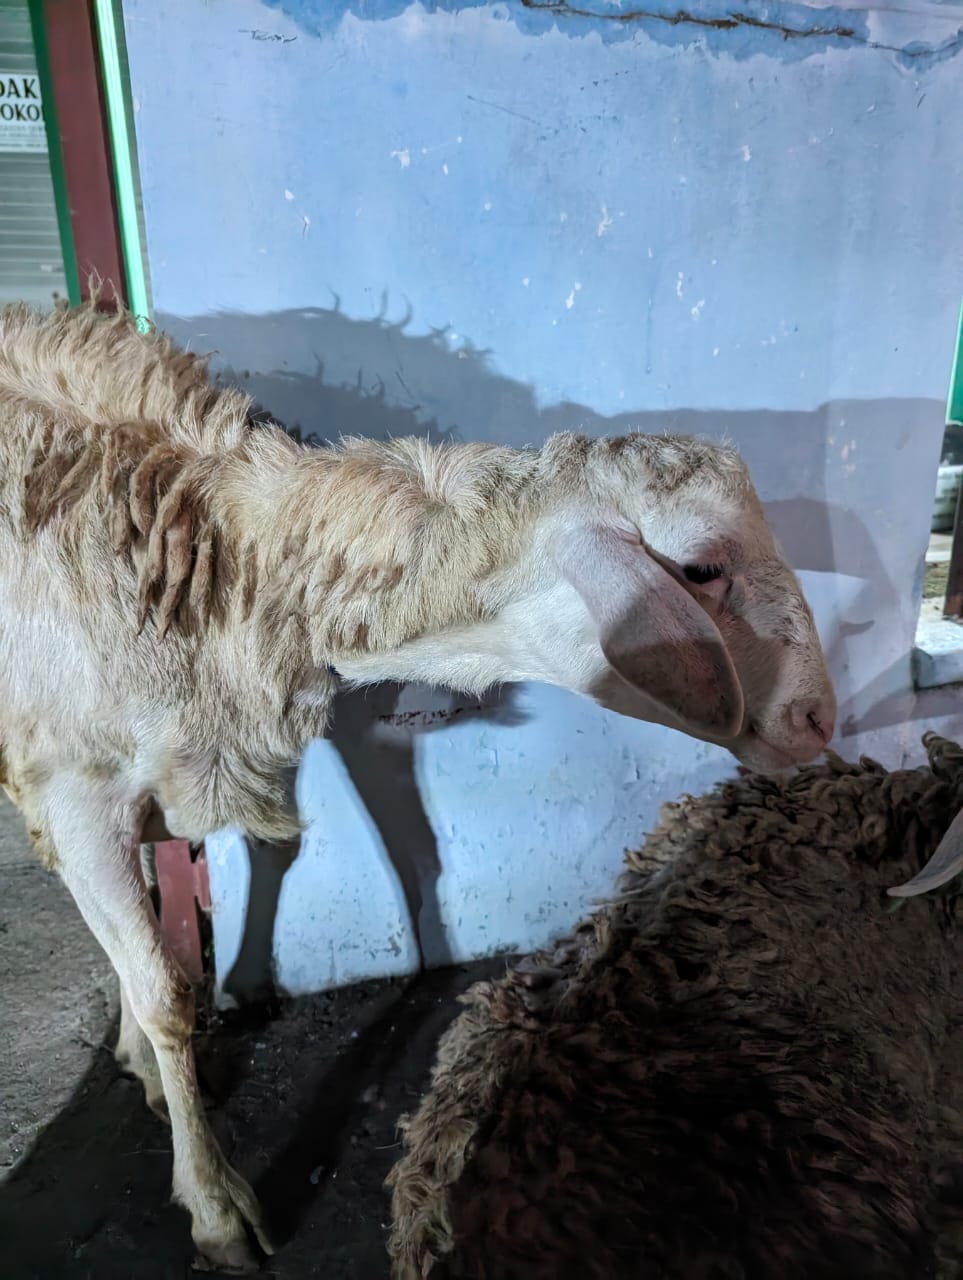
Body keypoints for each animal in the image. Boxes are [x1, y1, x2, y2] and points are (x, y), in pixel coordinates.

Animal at [0, 299, 834, 1272]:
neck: (222, 555)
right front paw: (213, 1204)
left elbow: (391, 865)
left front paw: (148, 1069)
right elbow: (168, 990)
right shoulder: (74, 789)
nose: (819, 718)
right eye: (701, 567)